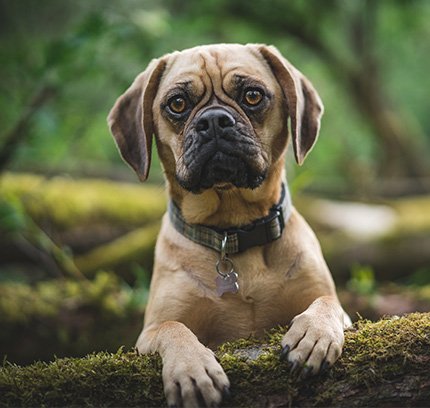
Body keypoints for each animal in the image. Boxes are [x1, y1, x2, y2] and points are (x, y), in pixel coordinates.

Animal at [107, 43, 350, 406]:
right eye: (177, 103)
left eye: (252, 95)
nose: (213, 121)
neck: (232, 232)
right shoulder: (149, 332)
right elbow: (173, 328)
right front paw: (192, 368)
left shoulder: (335, 305)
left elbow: (327, 303)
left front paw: (314, 333)